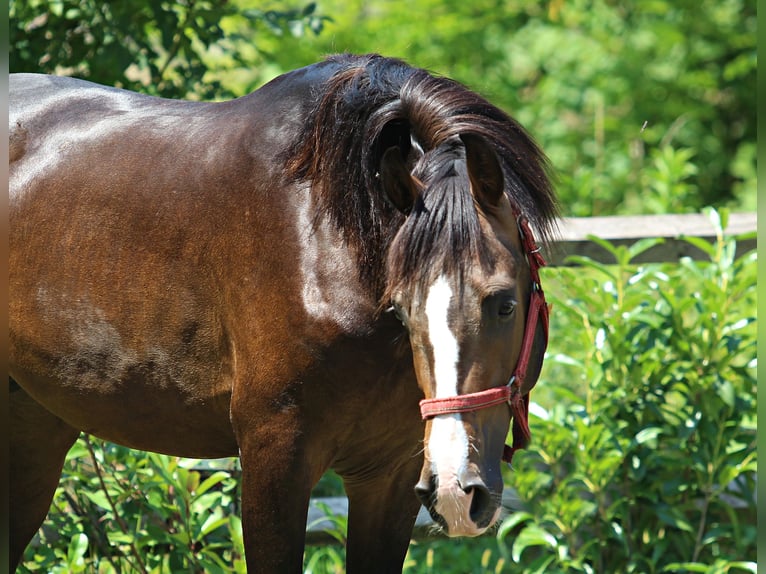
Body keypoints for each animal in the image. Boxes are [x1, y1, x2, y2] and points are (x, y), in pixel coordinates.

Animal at [9, 53, 560, 572]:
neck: (329, 236)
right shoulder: (275, 461)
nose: (454, 490)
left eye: (505, 304)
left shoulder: (389, 476)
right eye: (402, 310)